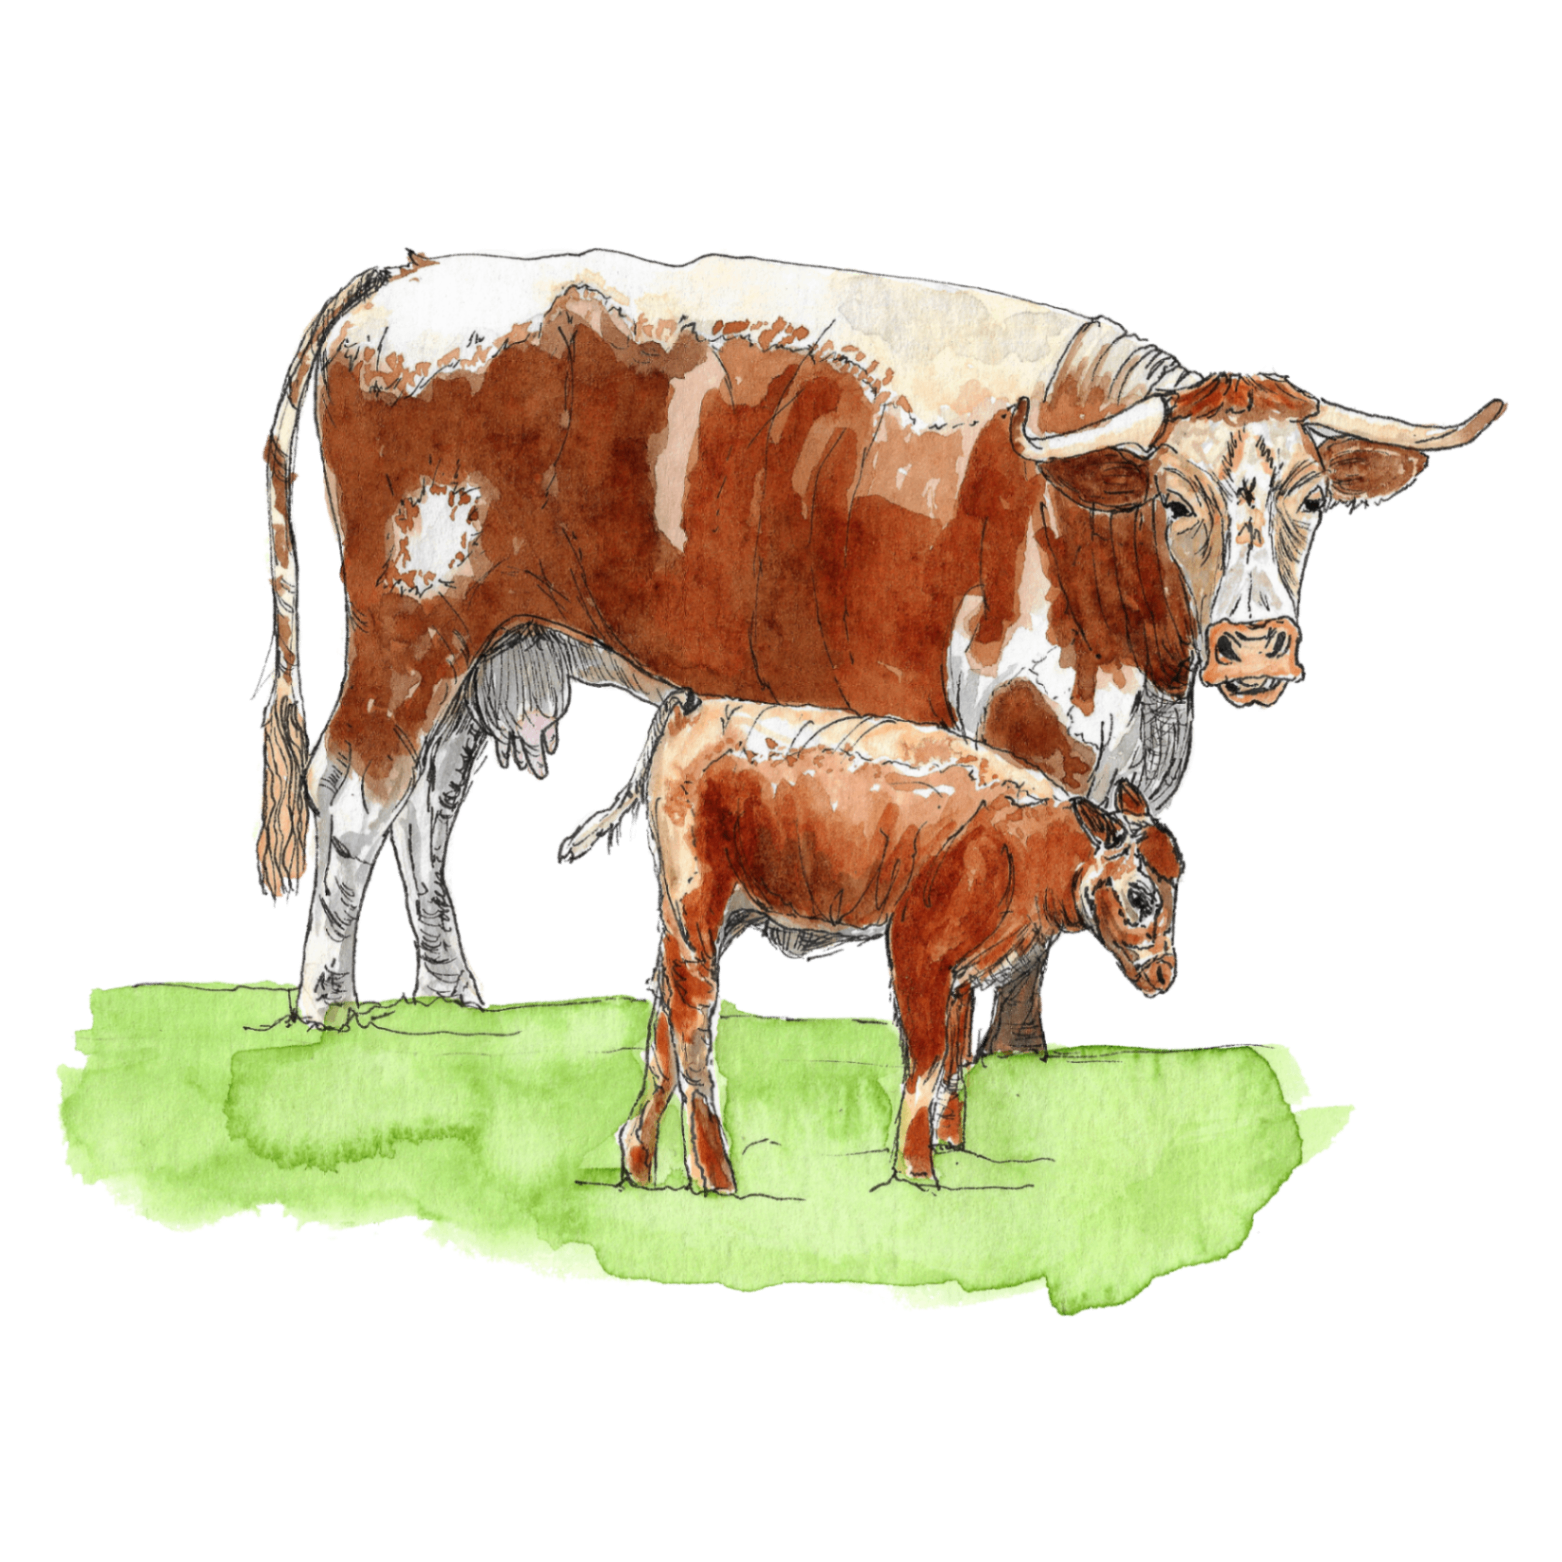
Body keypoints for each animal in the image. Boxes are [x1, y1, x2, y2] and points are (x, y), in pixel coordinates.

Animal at [256, 248, 1505, 1029]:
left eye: (1307, 500)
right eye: (1175, 499)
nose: (1253, 646)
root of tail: (412, 277)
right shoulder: (1027, 724)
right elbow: (1032, 916)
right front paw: (1014, 1060)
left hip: (493, 644)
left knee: (429, 802)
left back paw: (449, 987)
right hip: (412, 623)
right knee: (353, 789)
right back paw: (325, 1002)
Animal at [558, 693, 1185, 1189]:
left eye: (1177, 882)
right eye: (1138, 895)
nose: (1164, 975)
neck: (1024, 837)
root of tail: (689, 705)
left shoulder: (961, 975)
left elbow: (957, 1054)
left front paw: (951, 1146)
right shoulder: (917, 950)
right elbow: (928, 1061)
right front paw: (917, 1172)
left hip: (701, 923)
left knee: (662, 1023)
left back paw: (639, 1162)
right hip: (698, 913)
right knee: (692, 1026)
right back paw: (715, 1177)